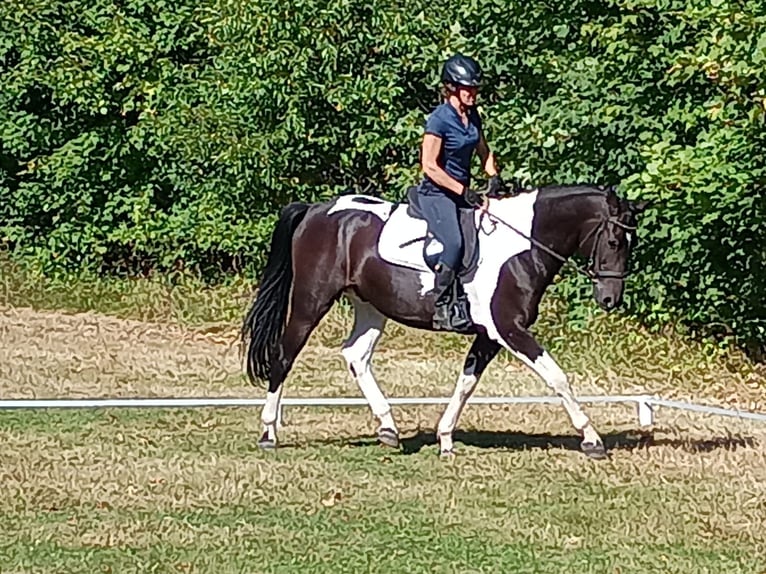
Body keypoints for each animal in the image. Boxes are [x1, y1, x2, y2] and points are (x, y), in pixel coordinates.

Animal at [240, 183, 647, 458]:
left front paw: (446, 437)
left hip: (370, 307)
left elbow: (466, 382)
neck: (522, 246)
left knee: (356, 355)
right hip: (311, 300)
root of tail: (316, 210)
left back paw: (388, 428)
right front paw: (591, 439)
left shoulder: (489, 335)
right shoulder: (509, 329)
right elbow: (557, 377)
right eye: (614, 241)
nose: (610, 299)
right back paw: (268, 433)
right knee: (284, 355)